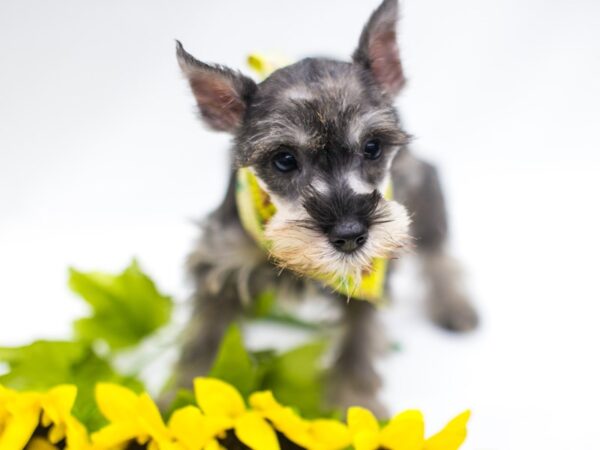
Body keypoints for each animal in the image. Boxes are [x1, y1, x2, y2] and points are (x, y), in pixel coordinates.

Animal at [173, 0, 478, 416]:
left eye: (373, 147)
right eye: (284, 159)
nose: (350, 236)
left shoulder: (370, 280)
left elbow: (357, 348)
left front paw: (357, 408)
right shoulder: (219, 265)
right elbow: (203, 342)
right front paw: (177, 401)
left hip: (421, 185)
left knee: (436, 246)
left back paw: (454, 304)